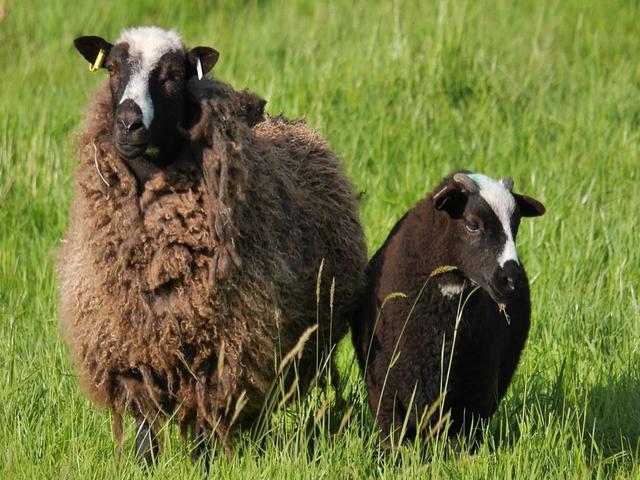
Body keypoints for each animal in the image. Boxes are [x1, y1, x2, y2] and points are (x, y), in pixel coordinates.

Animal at [58, 26, 367, 464]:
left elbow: (205, 416)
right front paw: (144, 464)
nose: (128, 124)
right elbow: (144, 423)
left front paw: (202, 463)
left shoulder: (222, 347)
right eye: (113, 69)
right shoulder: (129, 339)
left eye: (173, 75)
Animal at [351, 171, 545, 445]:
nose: (511, 280)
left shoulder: (475, 394)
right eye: (472, 224)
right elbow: (394, 441)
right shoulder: (385, 390)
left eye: (516, 225)